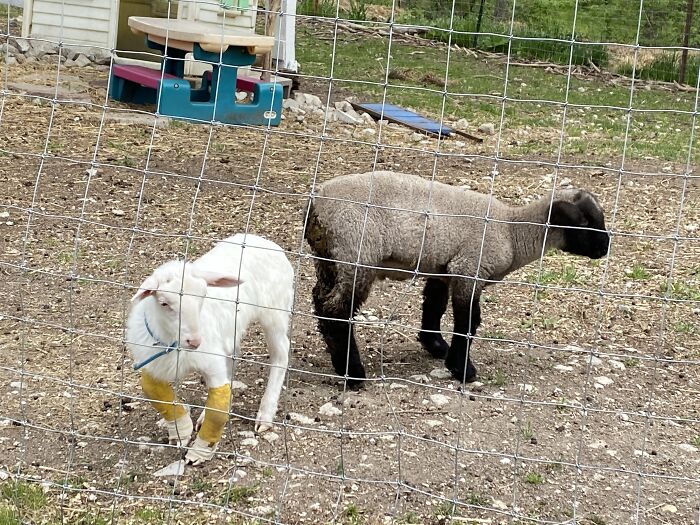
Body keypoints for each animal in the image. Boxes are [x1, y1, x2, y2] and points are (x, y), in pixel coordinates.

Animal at [126, 233, 293, 465]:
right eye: (164, 303)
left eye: (204, 295)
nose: (195, 341)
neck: (173, 344)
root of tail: (261, 239)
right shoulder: (153, 363)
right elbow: (154, 393)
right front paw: (180, 430)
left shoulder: (211, 361)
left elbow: (218, 409)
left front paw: (199, 451)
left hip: (275, 311)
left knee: (281, 353)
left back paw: (265, 413)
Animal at [304, 171, 610, 386]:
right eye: (584, 222)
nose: (605, 248)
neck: (511, 231)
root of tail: (318, 203)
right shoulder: (468, 270)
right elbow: (468, 323)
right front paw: (462, 368)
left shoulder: (442, 268)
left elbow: (434, 306)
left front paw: (436, 346)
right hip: (357, 254)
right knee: (337, 311)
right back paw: (353, 373)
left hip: (330, 260)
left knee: (320, 301)